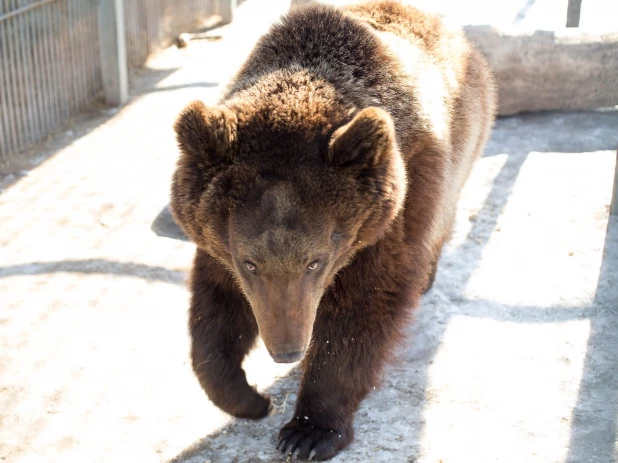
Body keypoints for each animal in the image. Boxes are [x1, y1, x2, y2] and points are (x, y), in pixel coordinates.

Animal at [170, 1, 496, 462]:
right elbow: (216, 306)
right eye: (249, 262)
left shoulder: (389, 219)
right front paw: (248, 398)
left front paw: (309, 431)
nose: (286, 350)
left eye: (315, 261)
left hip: (463, 153)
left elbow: (359, 315)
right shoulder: (219, 230)